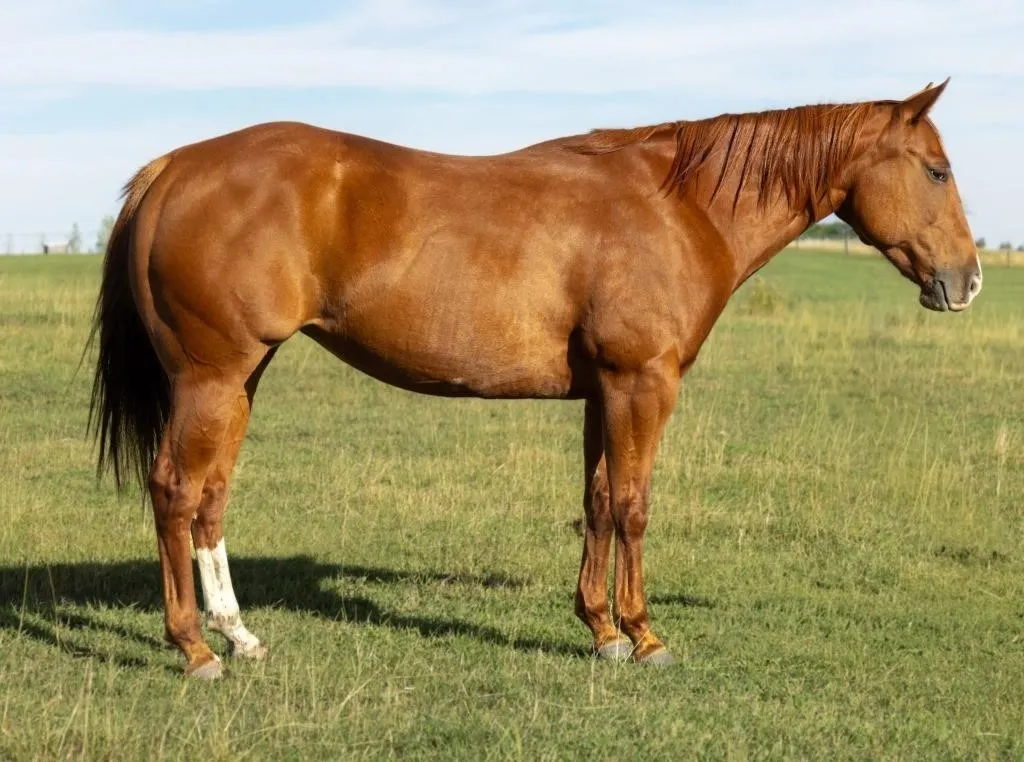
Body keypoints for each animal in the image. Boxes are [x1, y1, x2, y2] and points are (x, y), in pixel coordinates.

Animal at [89, 79, 980, 678]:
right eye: (936, 170)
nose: (967, 281)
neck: (677, 207)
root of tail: (174, 168)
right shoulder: (642, 383)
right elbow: (634, 504)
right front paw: (645, 635)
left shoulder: (604, 391)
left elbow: (598, 500)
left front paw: (601, 630)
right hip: (211, 377)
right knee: (175, 491)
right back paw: (194, 649)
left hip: (239, 380)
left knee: (209, 497)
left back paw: (237, 635)